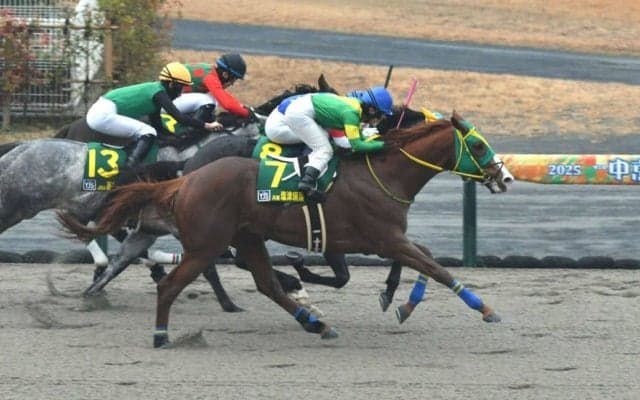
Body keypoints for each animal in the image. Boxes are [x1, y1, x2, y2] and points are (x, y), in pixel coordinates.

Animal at [58, 111, 513, 347]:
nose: (505, 177)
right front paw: (486, 309)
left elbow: (425, 261)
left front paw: (398, 302)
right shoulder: (384, 238)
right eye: (476, 145)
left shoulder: (375, 240)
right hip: (208, 244)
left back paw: (316, 323)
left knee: (266, 284)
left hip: (246, 238)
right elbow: (437, 268)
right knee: (172, 284)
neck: (383, 174)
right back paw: (160, 334)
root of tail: (185, 179)